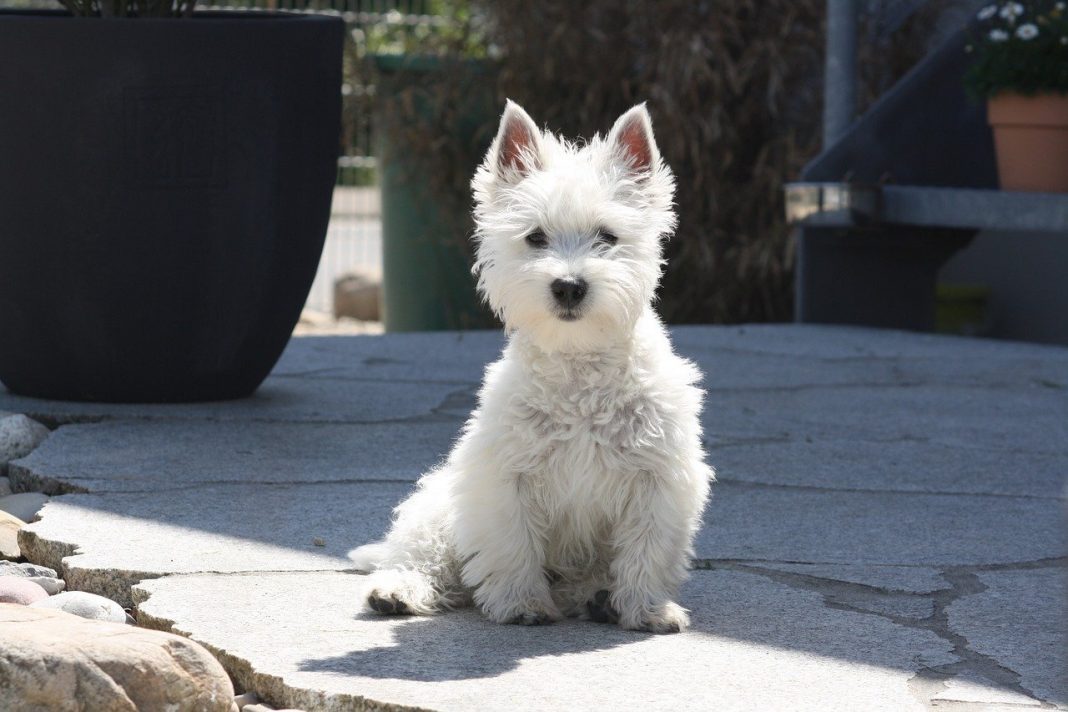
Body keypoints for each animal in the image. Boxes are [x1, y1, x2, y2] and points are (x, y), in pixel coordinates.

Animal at [352, 100, 717, 636]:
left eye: (608, 236)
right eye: (535, 237)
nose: (568, 286)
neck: (579, 367)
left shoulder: (658, 477)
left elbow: (647, 548)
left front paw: (647, 608)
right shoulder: (506, 477)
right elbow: (513, 543)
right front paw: (523, 603)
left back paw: (599, 599)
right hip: (439, 505)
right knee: (425, 556)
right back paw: (396, 591)